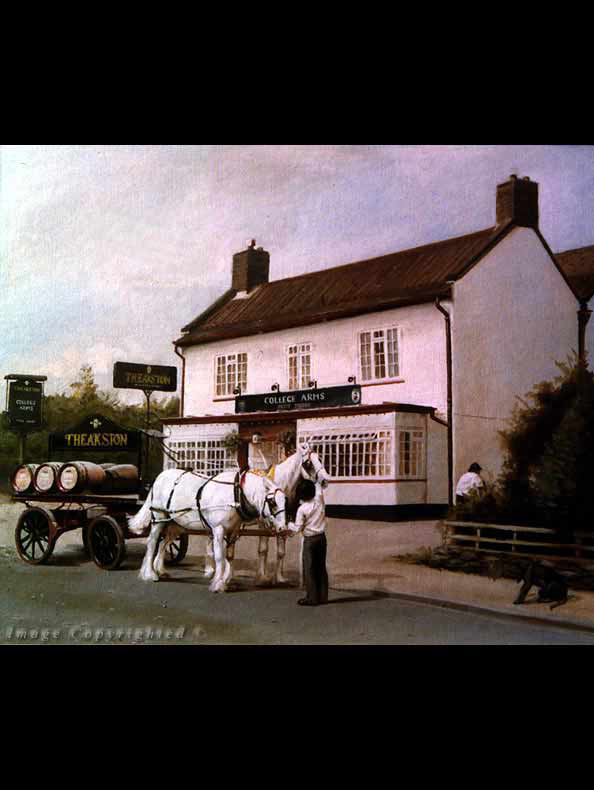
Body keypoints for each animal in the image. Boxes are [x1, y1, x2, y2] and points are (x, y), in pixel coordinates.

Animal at [128, 470, 286, 592]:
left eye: (286, 501)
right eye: (273, 502)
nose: (283, 528)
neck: (235, 494)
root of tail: (159, 477)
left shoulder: (233, 531)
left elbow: (229, 556)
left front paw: (227, 580)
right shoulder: (218, 530)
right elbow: (219, 556)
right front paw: (218, 584)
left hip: (175, 524)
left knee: (163, 544)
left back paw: (161, 570)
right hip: (159, 519)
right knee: (152, 543)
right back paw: (150, 574)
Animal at [207, 446, 328, 588]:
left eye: (320, 458)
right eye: (308, 463)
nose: (325, 480)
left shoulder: (282, 523)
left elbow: (281, 551)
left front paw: (280, 578)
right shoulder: (263, 523)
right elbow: (263, 550)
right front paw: (262, 577)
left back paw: (213, 571)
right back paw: (215, 573)